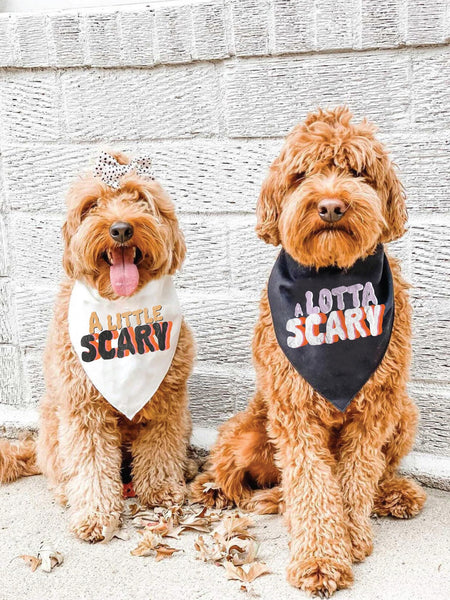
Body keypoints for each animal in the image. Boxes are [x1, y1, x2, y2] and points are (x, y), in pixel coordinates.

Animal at [0, 151, 196, 544]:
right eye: (91, 205)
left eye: (140, 198)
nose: (120, 229)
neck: (123, 308)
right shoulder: (83, 409)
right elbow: (90, 464)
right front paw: (94, 515)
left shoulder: (168, 402)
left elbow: (160, 447)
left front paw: (161, 489)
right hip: (53, 424)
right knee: (59, 470)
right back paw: (66, 492)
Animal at [192, 106, 428, 596]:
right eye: (302, 174)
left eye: (357, 171)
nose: (332, 205)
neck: (332, 277)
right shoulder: (294, 408)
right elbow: (312, 485)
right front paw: (320, 558)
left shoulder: (376, 405)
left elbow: (357, 474)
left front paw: (351, 536)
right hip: (247, 430)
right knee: (245, 477)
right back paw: (250, 496)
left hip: (405, 411)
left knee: (379, 469)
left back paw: (393, 493)